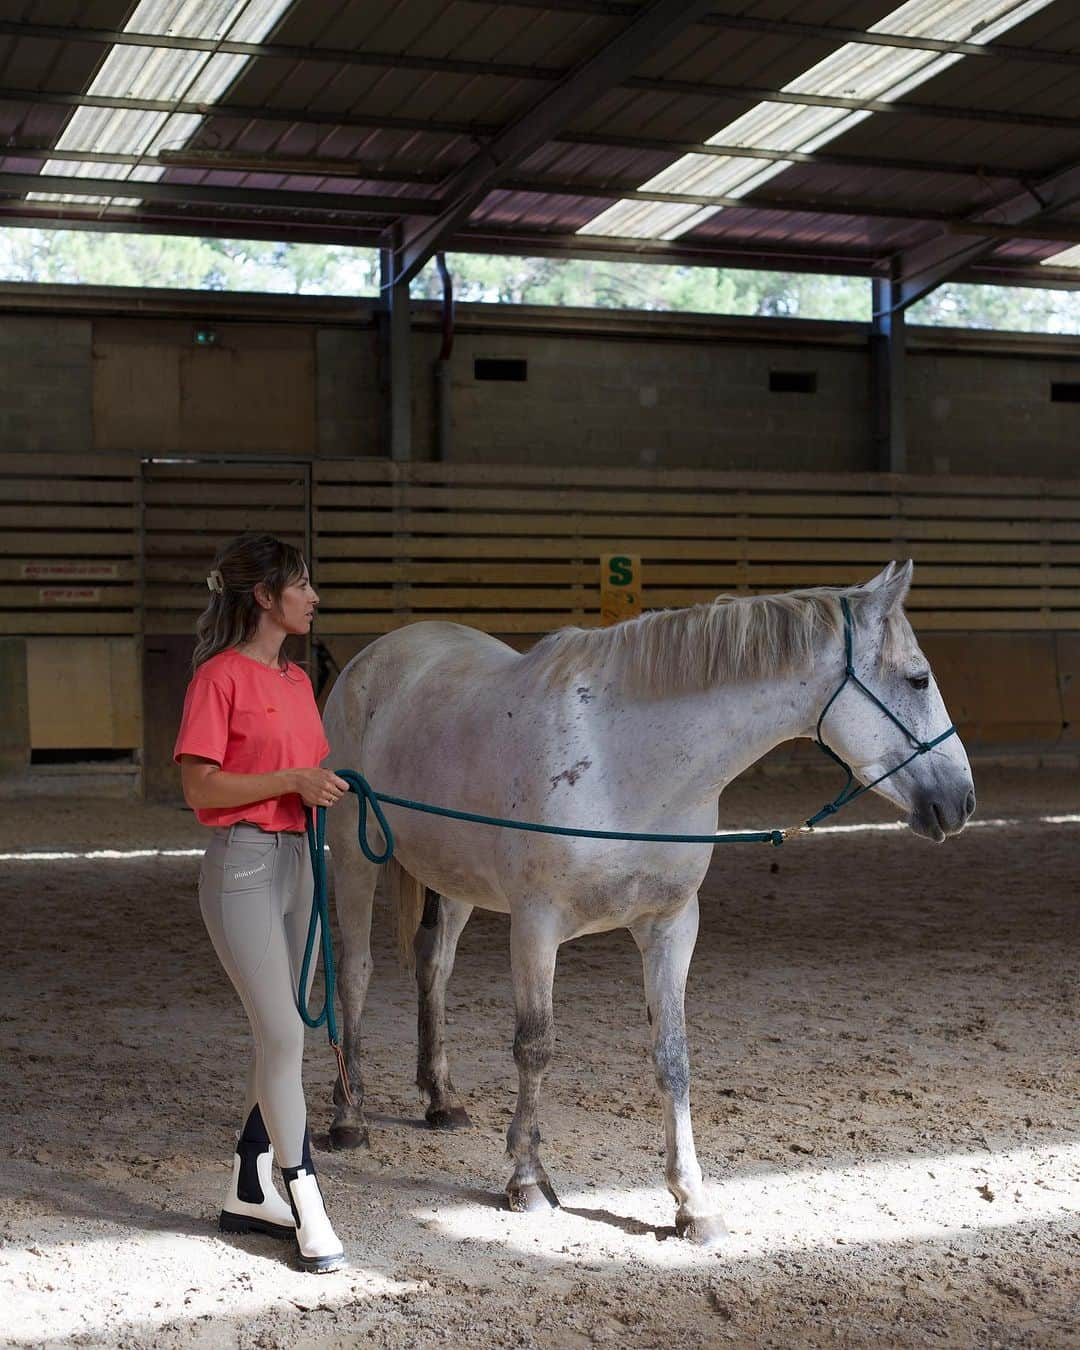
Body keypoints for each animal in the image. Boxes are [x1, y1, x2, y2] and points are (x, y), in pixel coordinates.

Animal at [318, 558, 972, 1242]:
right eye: (918, 678)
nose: (961, 800)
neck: (623, 761)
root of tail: (377, 656)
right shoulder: (535, 927)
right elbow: (535, 1046)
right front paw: (527, 1178)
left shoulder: (671, 926)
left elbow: (672, 1056)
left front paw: (692, 1201)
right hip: (356, 856)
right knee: (356, 973)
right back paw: (349, 1116)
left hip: (454, 880)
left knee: (434, 969)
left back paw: (441, 1099)